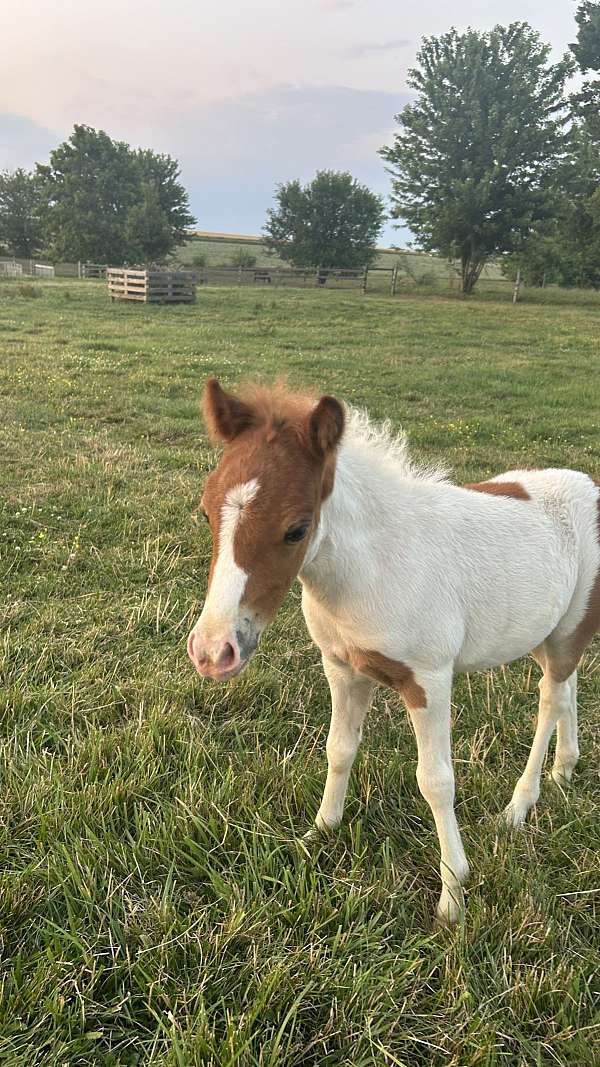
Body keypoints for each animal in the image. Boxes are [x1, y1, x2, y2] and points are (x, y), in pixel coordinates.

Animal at [187, 378, 600, 923]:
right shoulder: (341, 667)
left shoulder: (428, 680)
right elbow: (339, 749)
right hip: (544, 634)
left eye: (297, 529)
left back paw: (518, 806)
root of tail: (590, 485)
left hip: (570, 627)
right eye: (205, 511)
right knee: (566, 686)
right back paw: (564, 770)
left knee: (550, 699)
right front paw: (320, 832)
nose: (213, 652)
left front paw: (452, 894)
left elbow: (436, 781)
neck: (373, 567)